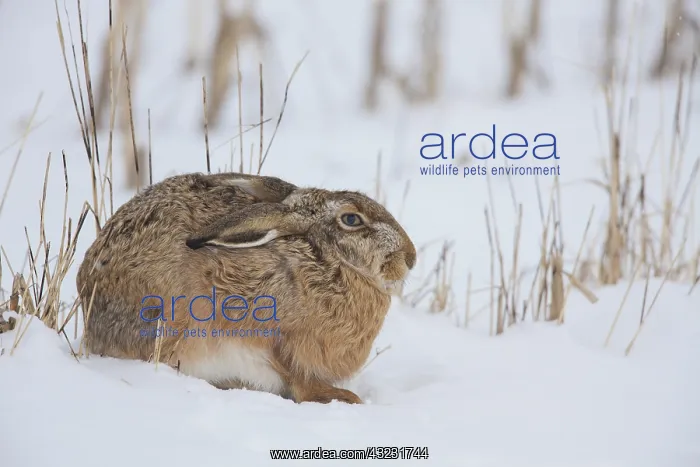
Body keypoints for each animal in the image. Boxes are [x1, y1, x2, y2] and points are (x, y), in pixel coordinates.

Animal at [76, 171, 416, 404]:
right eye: (351, 219)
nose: (410, 258)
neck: (328, 260)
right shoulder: (277, 335)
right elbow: (297, 377)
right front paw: (344, 398)